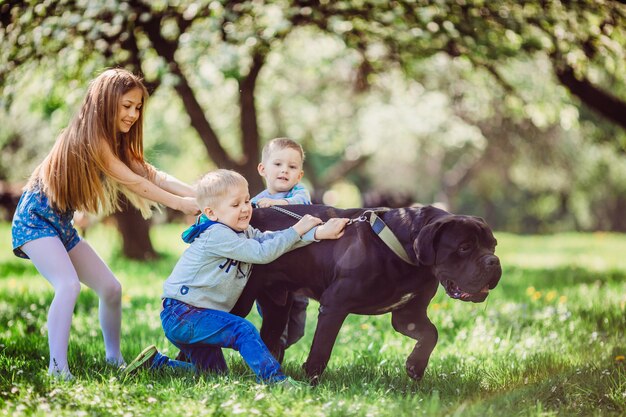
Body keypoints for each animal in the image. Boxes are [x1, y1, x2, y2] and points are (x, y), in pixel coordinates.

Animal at [230, 203, 502, 382]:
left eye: (493, 245)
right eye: (464, 247)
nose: (494, 261)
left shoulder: (408, 316)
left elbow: (431, 334)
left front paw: (415, 366)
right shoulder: (334, 305)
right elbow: (322, 349)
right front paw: (312, 381)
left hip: (277, 304)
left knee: (269, 337)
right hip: (241, 300)